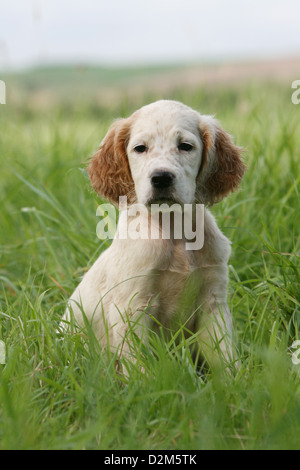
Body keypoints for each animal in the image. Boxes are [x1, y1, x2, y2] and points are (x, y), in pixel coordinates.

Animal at [61, 100, 244, 370]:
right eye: (140, 148)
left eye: (185, 146)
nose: (161, 177)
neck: (173, 230)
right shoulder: (133, 306)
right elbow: (139, 365)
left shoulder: (213, 302)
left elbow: (224, 358)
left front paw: (238, 379)